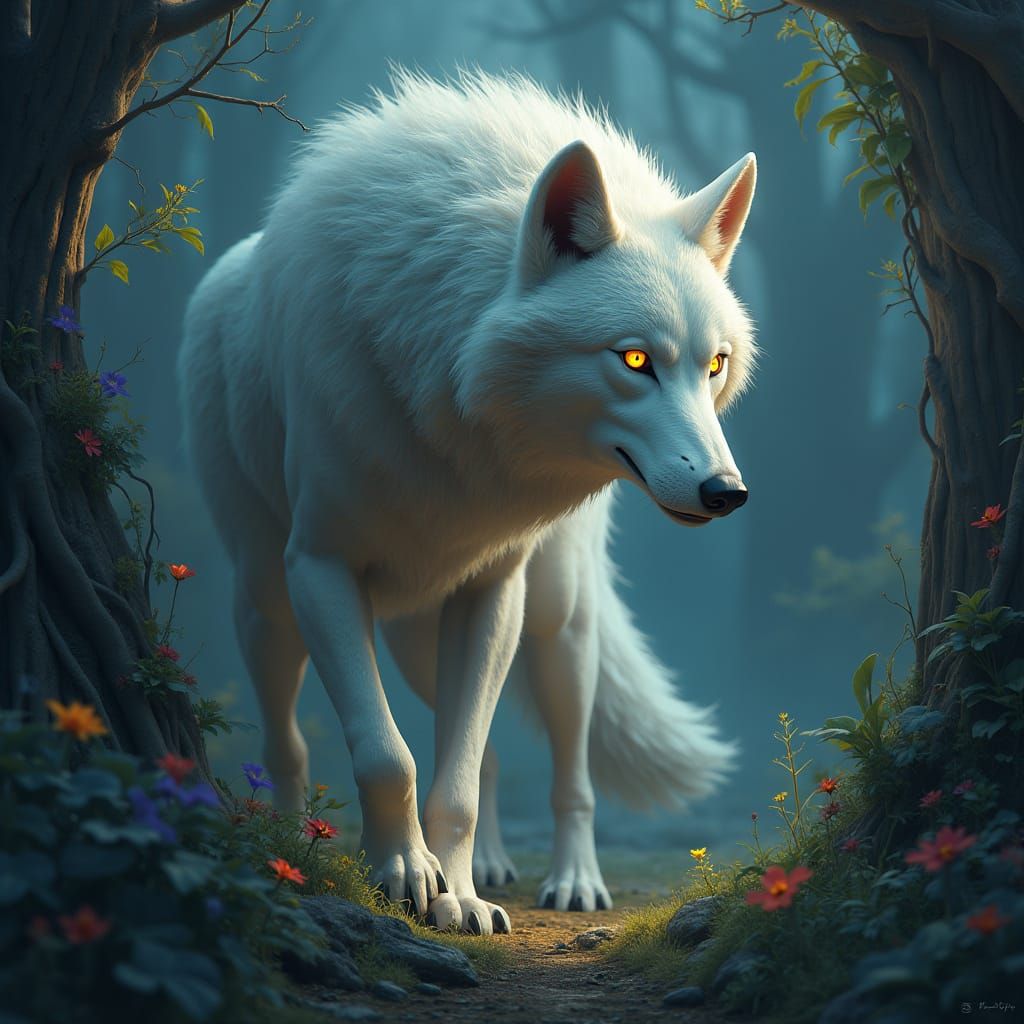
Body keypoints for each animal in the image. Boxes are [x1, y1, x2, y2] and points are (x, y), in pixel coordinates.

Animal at [179, 71, 756, 934]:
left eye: (713, 364)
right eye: (634, 361)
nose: (728, 492)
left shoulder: (493, 589)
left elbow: (452, 780)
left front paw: (457, 897)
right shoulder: (319, 570)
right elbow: (391, 755)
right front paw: (405, 875)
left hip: (554, 622)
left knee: (565, 770)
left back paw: (568, 881)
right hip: (278, 610)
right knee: (299, 744)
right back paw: (309, 844)